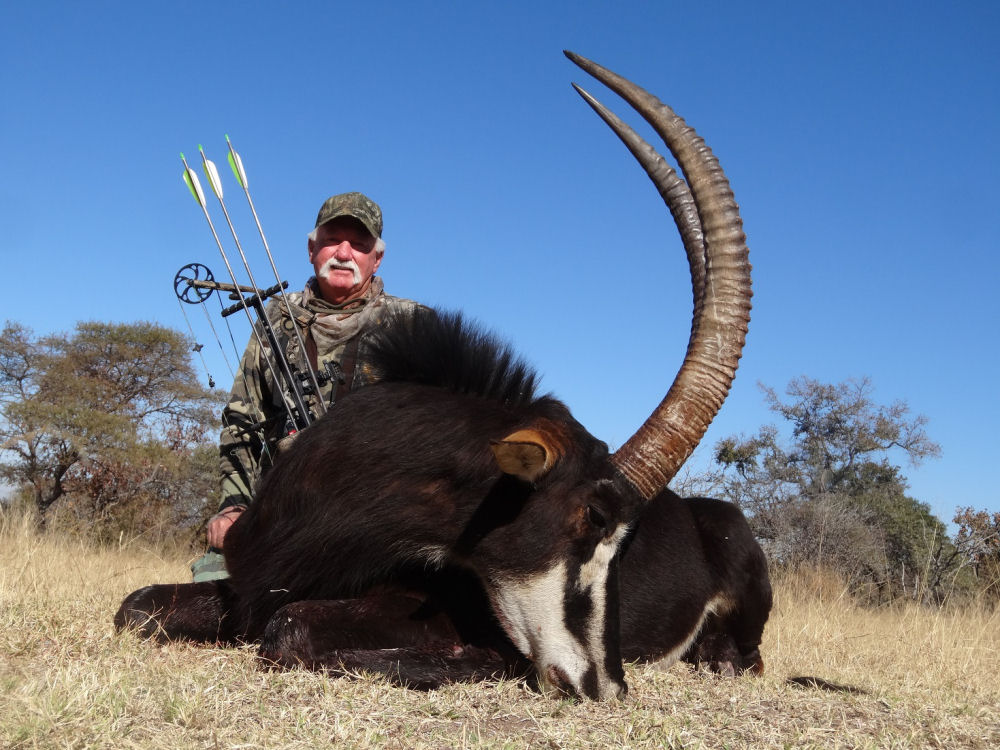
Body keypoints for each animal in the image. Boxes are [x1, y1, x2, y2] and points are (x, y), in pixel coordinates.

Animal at [113, 51, 764, 700]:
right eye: (593, 519)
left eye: (628, 541)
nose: (606, 685)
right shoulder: (248, 582)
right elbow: (136, 607)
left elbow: (289, 627)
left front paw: (477, 664)